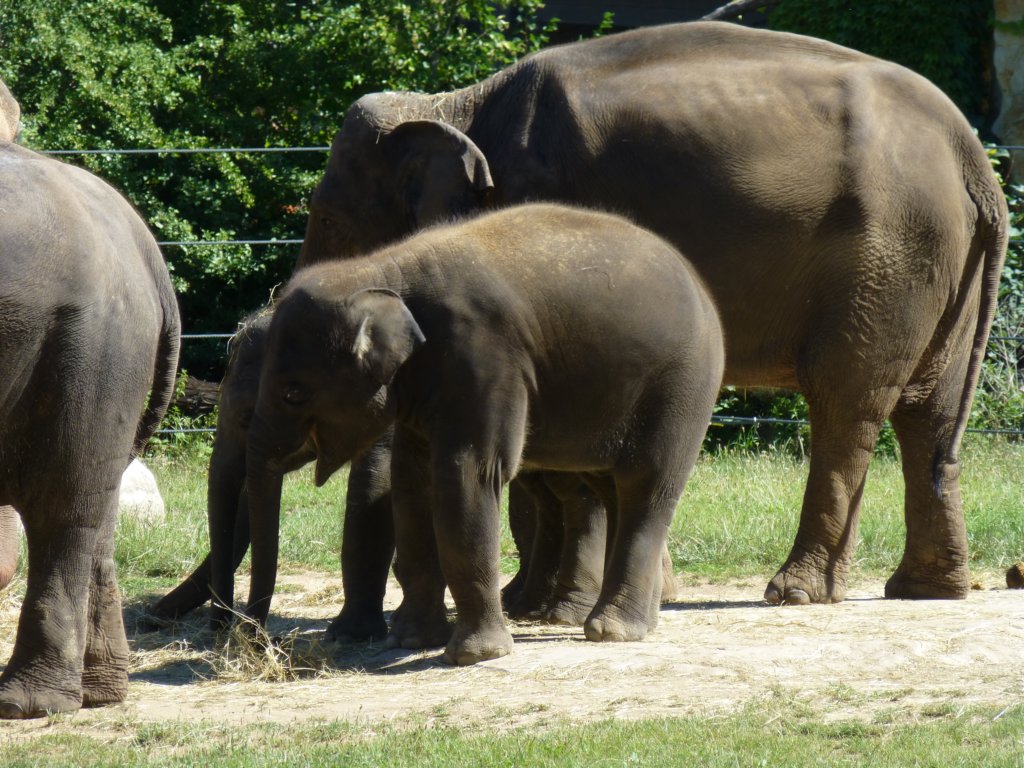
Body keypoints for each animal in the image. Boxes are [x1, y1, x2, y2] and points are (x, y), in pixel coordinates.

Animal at [240, 205, 724, 667]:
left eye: (293, 393)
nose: (259, 643)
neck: (380, 270)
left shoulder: (483, 355)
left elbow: (467, 475)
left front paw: (473, 656)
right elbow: (412, 481)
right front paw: (411, 640)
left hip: (681, 386)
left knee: (647, 486)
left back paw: (612, 631)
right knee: (613, 489)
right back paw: (641, 622)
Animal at [296, 19, 1007, 606]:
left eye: (327, 218)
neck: (453, 103)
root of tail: (973, 159)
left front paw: (558, 604)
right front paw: (540, 600)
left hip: (888, 254)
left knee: (847, 402)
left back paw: (797, 592)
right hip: (936, 260)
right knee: (929, 412)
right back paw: (927, 590)